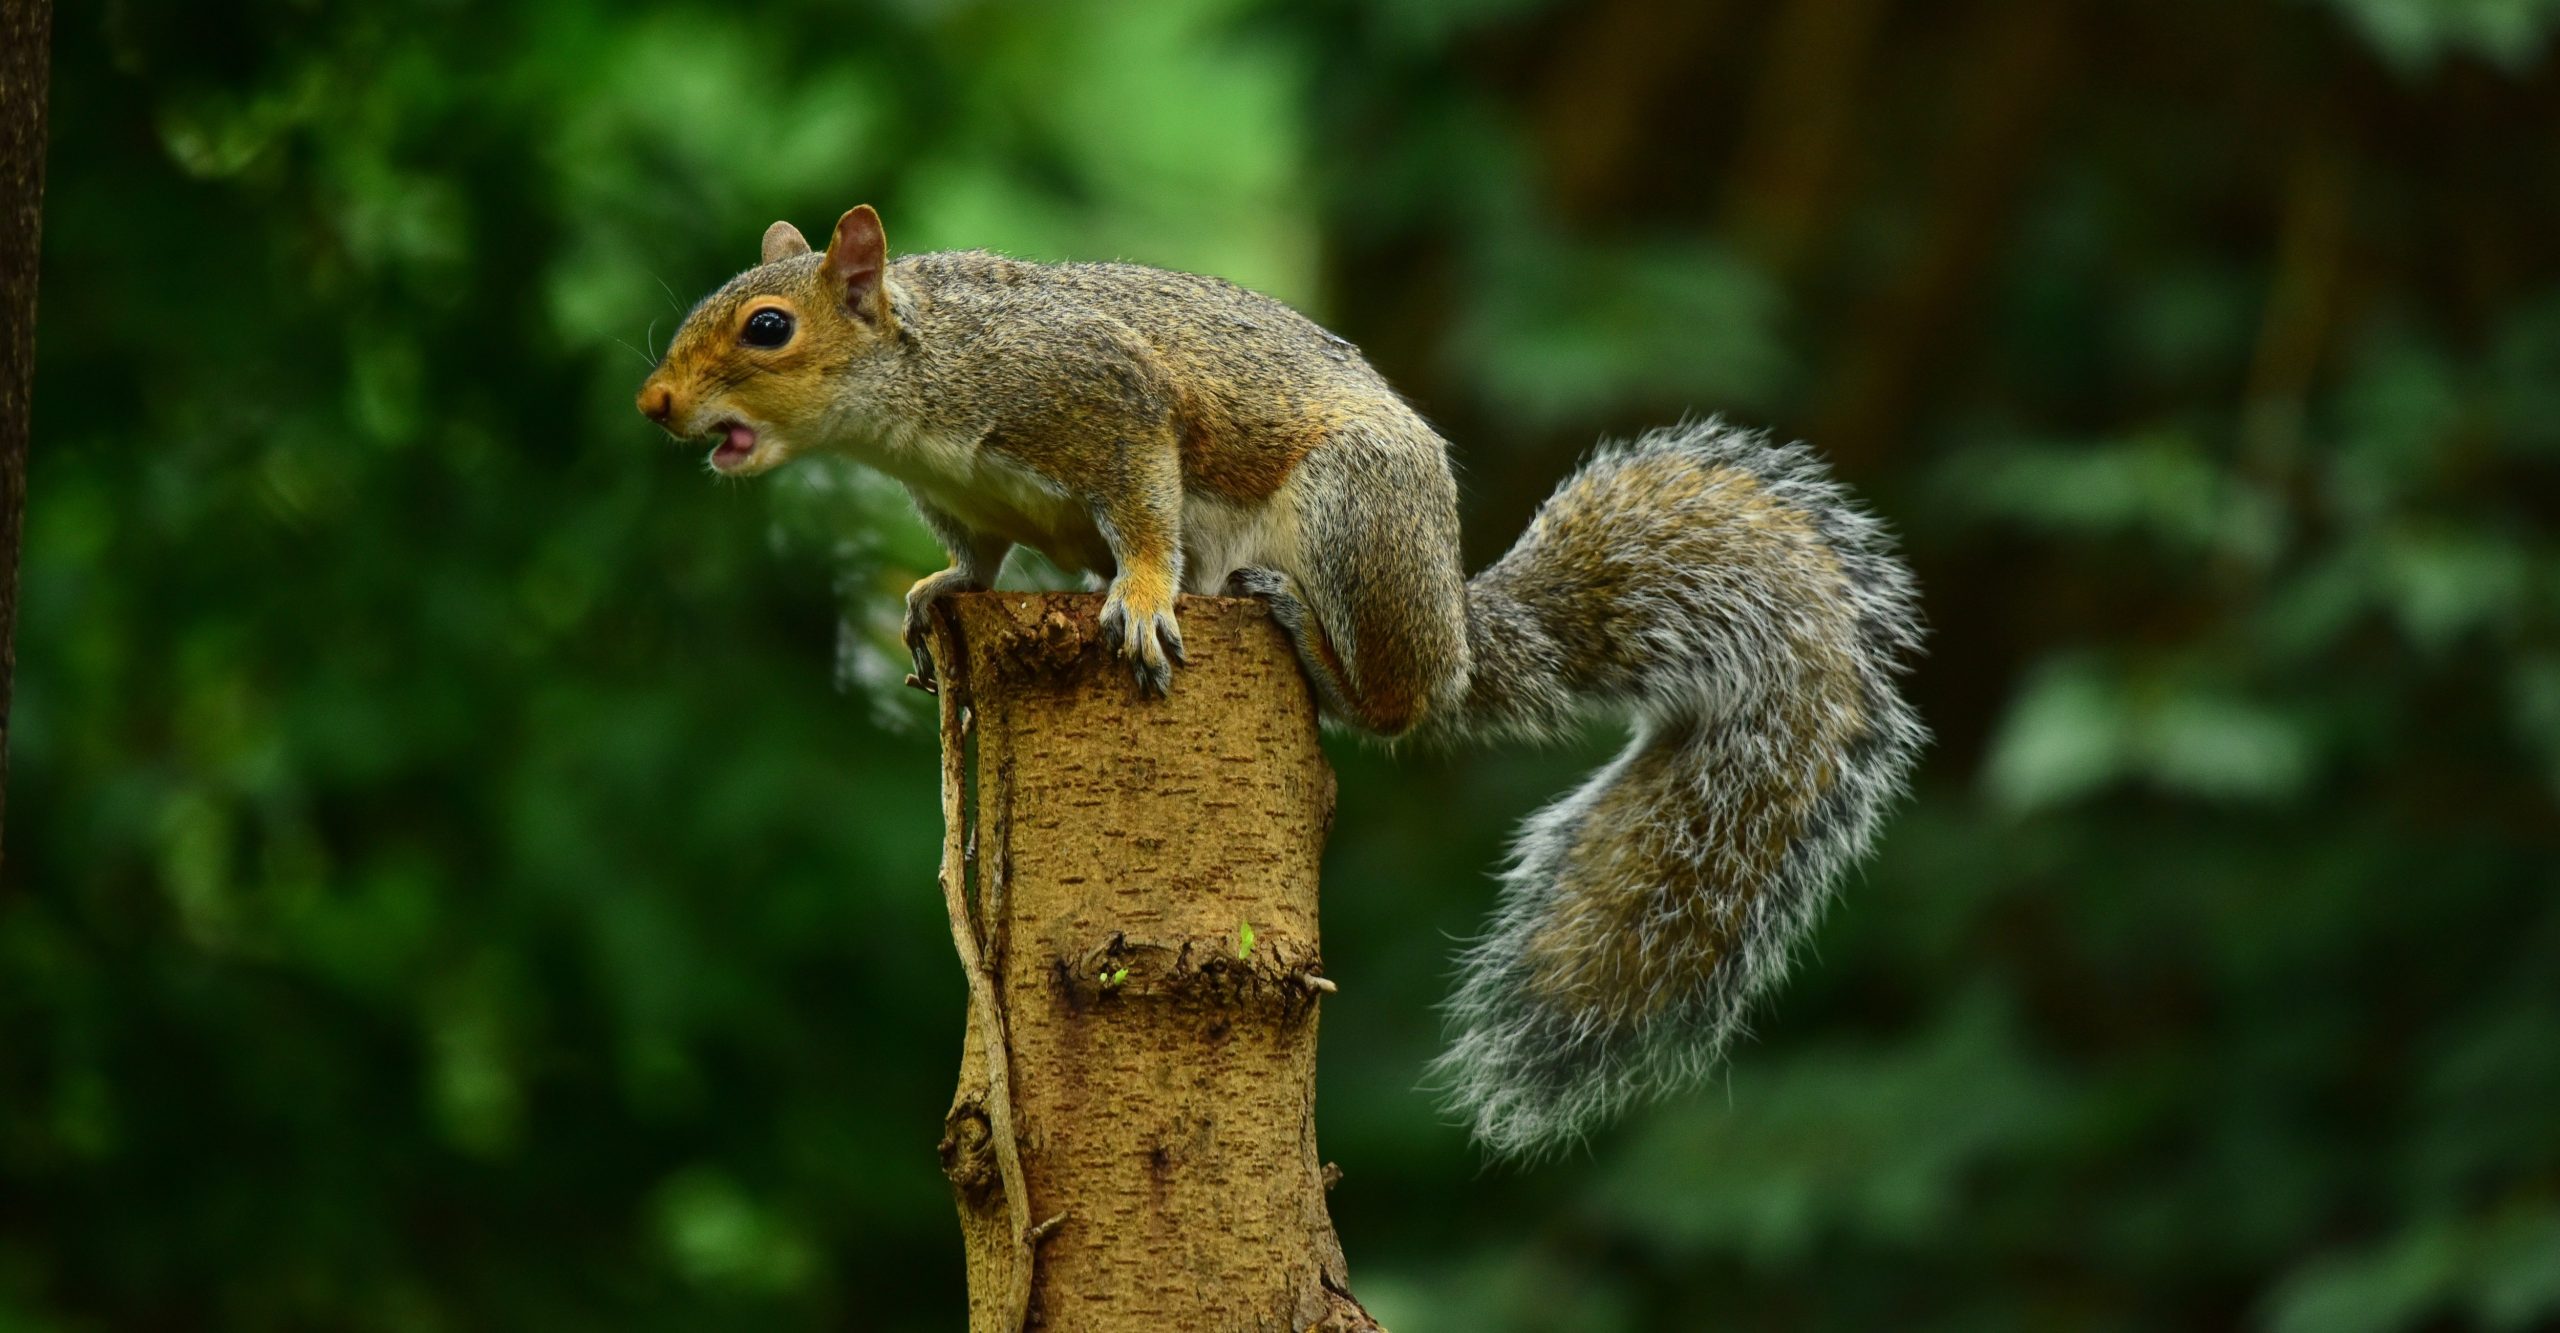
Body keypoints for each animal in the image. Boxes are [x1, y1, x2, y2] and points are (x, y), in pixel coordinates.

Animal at [634, 202, 1925, 1146]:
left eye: (765, 330)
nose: (653, 405)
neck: (918, 379)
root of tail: (1454, 629)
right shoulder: (969, 499)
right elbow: (977, 562)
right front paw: (931, 597)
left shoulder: (1104, 398)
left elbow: (1145, 513)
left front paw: (1141, 596)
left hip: (1355, 514)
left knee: (1392, 703)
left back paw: (1303, 631)